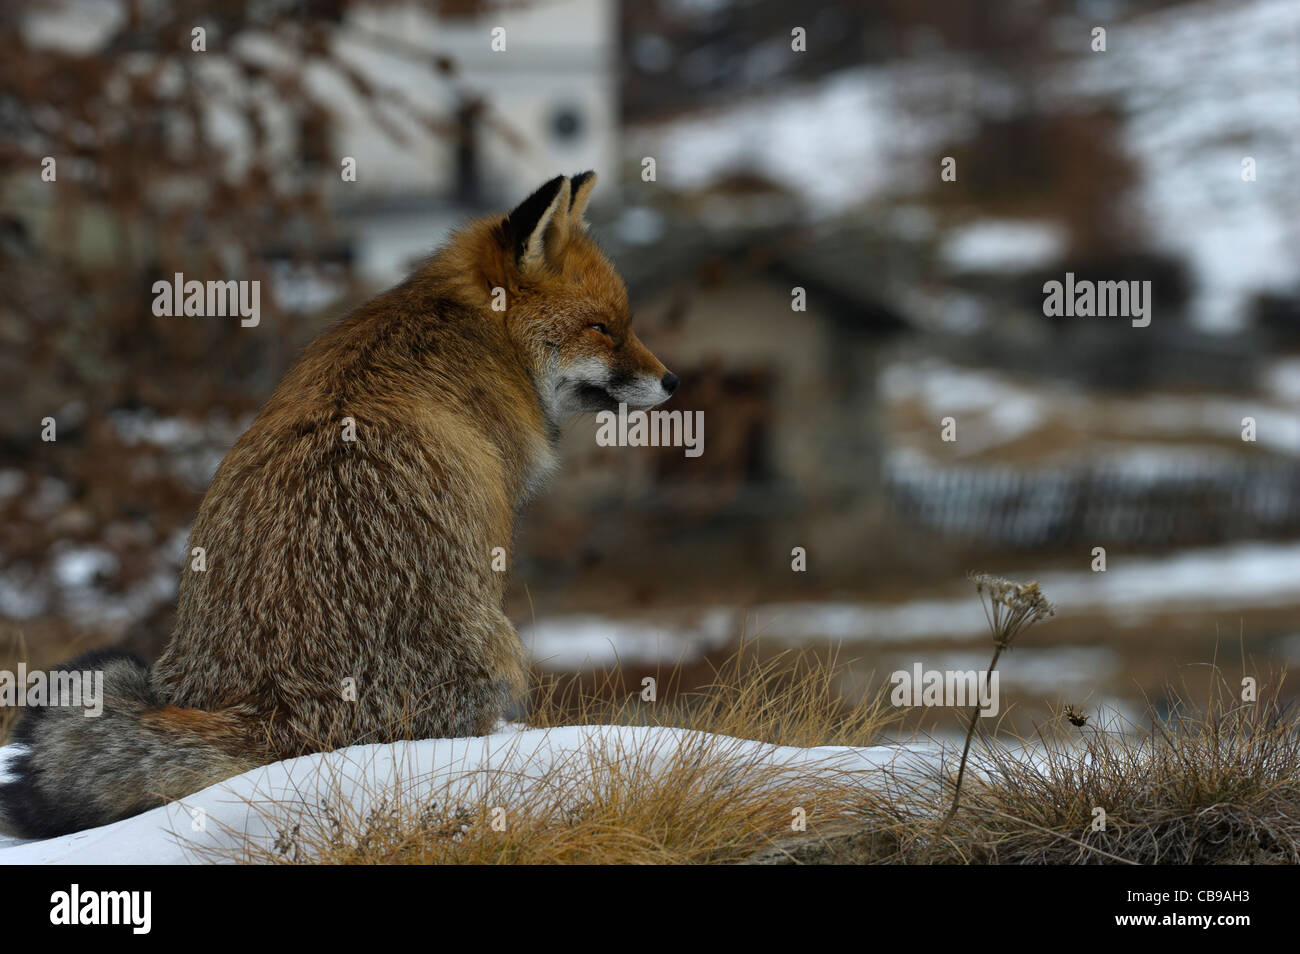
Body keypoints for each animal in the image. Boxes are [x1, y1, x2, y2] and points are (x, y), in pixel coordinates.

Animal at [0, 175, 676, 842]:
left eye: (625, 322)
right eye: (603, 329)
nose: (673, 382)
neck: (475, 334)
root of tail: (273, 708)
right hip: (502, 647)